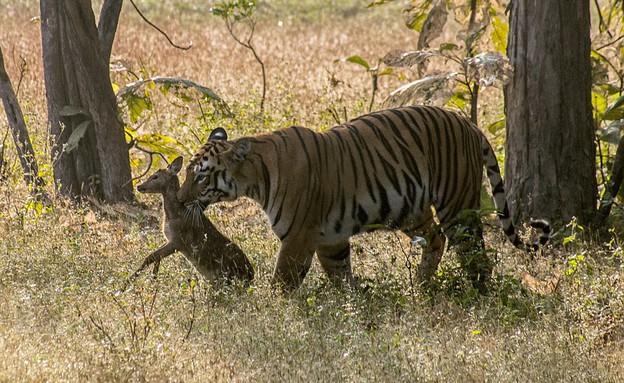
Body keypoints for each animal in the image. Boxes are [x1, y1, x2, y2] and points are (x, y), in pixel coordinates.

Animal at [178, 106, 548, 292]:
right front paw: (351, 310)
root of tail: (468, 123)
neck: (255, 178)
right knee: (436, 239)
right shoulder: (330, 239)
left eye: (201, 175)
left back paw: (479, 296)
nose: (179, 200)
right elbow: (342, 277)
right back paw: (419, 288)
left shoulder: (298, 238)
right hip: (409, 209)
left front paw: (270, 316)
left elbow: (282, 283)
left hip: (456, 207)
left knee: (475, 254)